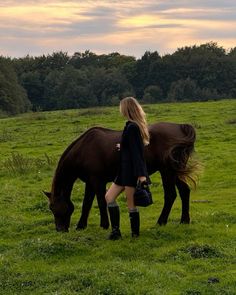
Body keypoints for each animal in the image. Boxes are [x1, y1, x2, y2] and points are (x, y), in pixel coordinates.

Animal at [43, 122, 197, 231]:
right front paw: (81, 225)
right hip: (175, 172)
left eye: (54, 207)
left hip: (167, 171)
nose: (59, 229)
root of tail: (180, 127)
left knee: (170, 195)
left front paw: (104, 225)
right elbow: (87, 203)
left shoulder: (97, 181)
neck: (83, 150)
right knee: (184, 191)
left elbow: (100, 202)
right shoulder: (90, 182)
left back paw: (161, 221)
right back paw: (184, 220)